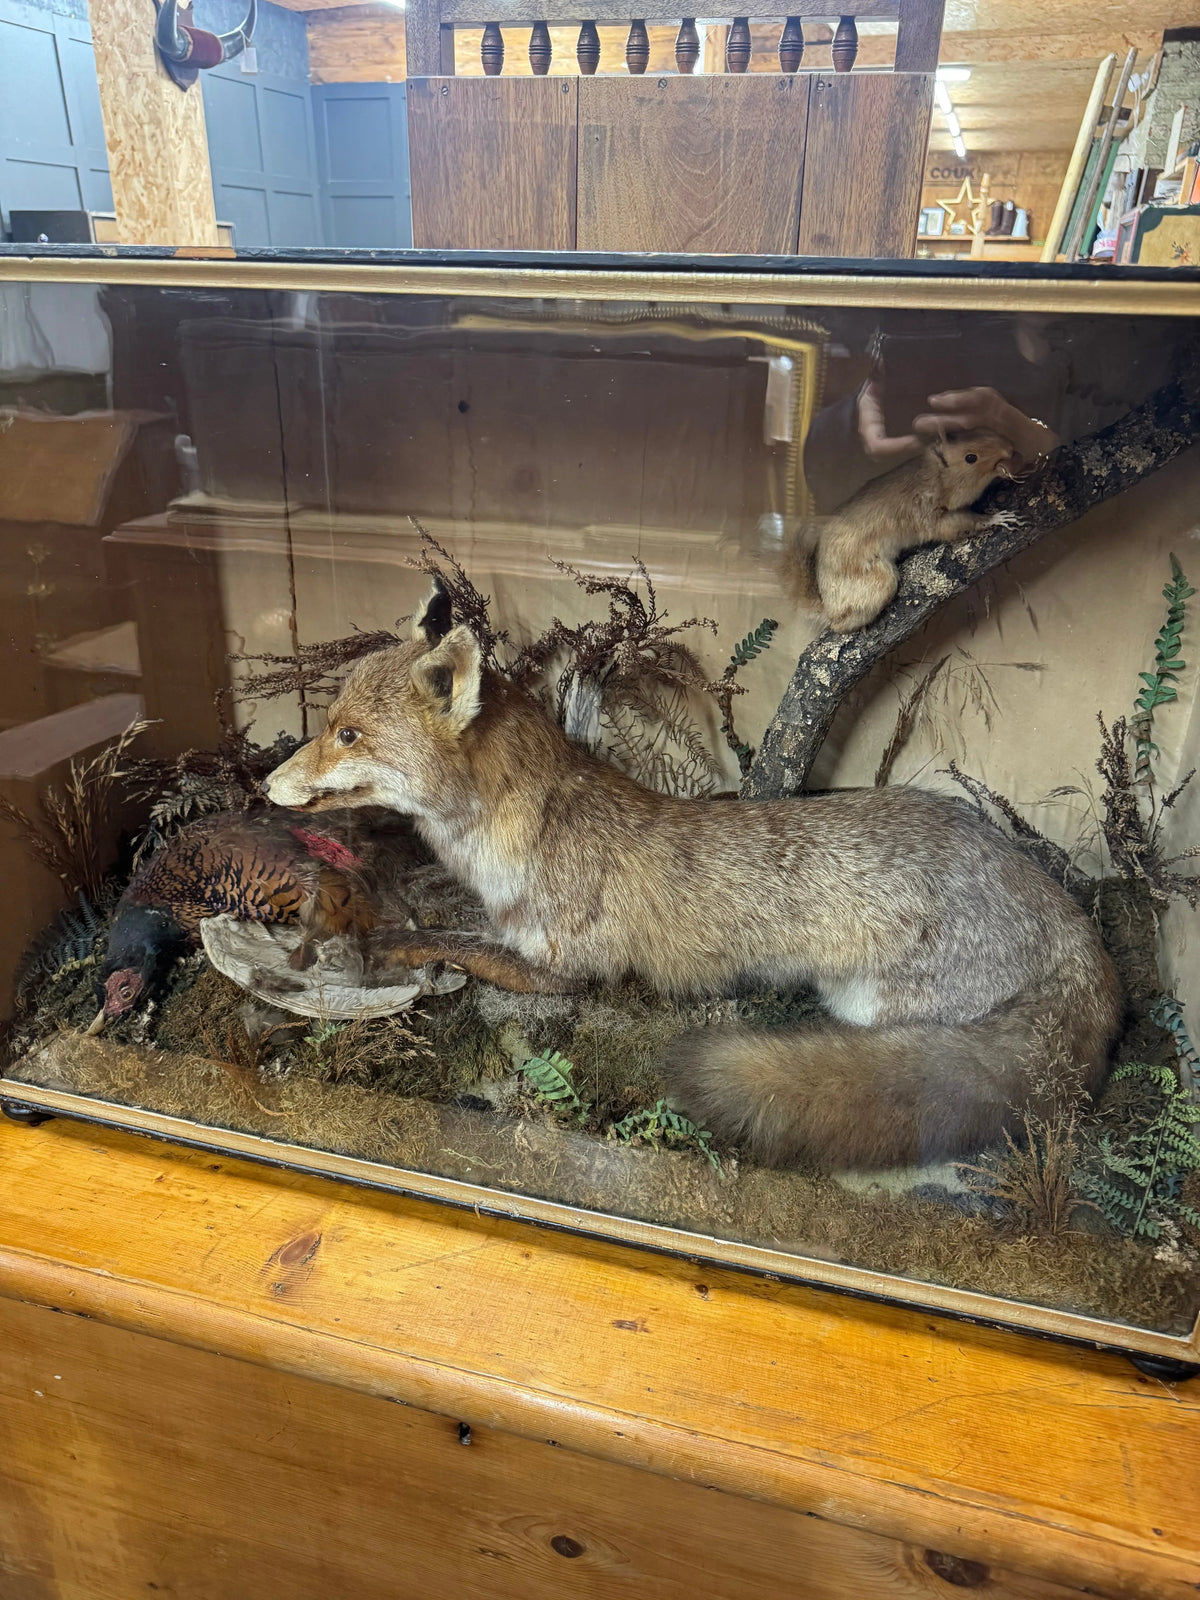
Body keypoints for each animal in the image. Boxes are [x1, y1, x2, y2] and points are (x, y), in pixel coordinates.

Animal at [265, 582, 1121, 1172]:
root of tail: (1073, 922)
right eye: (326, 722)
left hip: (866, 1002)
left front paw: (385, 945)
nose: (266, 783)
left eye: (348, 735)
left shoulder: (561, 970)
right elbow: (445, 912)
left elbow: (447, 943)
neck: (517, 842)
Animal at [782, 430, 1021, 633]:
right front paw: (997, 518)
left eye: (979, 429)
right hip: (879, 582)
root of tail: (827, 607)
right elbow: (957, 525)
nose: (1010, 448)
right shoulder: (928, 515)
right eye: (970, 458)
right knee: (837, 626)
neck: (932, 475)